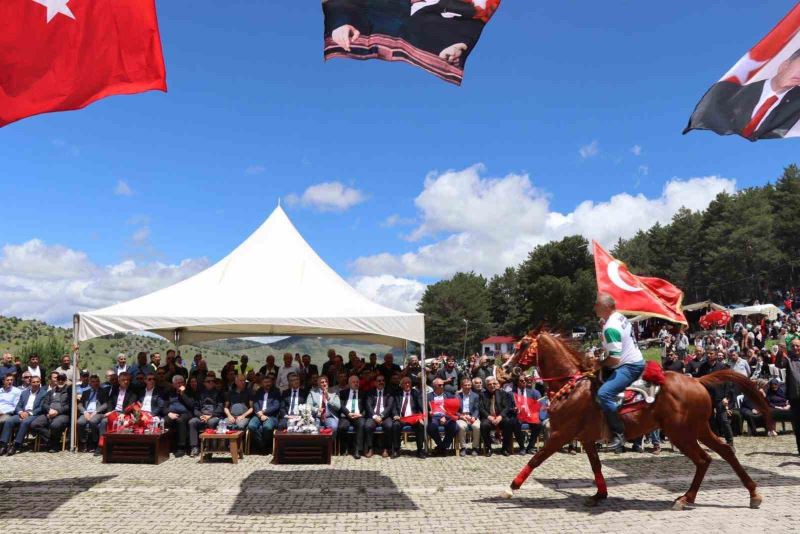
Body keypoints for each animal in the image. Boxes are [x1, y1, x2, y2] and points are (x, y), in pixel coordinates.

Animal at [504, 332, 772, 512]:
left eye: (523, 345)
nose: (506, 368)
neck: (572, 385)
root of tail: (697, 380)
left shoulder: (561, 433)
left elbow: (536, 459)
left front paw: (511, 487)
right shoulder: (586, 438)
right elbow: (596, 466)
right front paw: (599, 494)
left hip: (681, 433)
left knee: (703, 459)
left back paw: (686, 498)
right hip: (698, 429)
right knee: (723, 451)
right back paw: (751, 493)